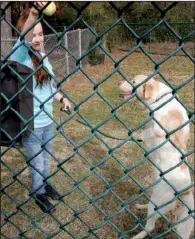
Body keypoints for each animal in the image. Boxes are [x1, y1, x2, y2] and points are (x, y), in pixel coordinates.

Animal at [119, 74, 193, 239]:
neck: (160, 99)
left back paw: (137, 236)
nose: (119, 82)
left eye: (134, 81)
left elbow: (146, 132)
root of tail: (186, 190)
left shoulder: (159, 129)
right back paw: (141, 205)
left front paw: (140, 136)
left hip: (157, 201)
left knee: (150, 227)